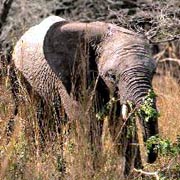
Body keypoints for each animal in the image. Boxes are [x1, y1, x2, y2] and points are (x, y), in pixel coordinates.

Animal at [12, 15, 158, 177]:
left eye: (153, 72)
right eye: (112, 76)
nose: (150, 158)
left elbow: (121, 124)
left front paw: (137, 176)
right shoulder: (70, 78)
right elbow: (87, 122)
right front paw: (95, 174)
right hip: (23, 80)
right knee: (36, 121)